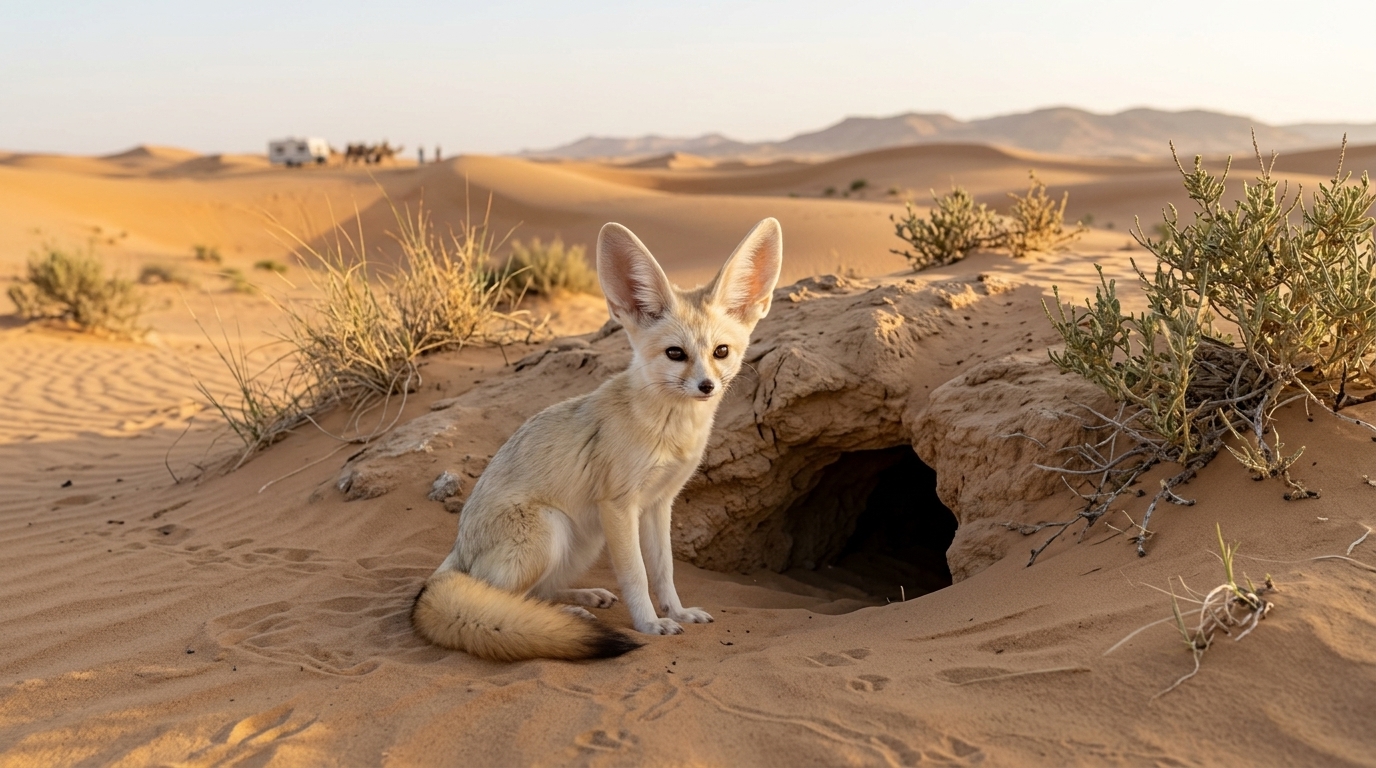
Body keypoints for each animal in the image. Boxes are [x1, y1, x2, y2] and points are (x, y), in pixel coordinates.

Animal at [411, 218, 784, 661]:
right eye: (675, 354)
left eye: (721, 351)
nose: (707, 386)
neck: (668, 429)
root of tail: (455, 552)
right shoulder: (619, 505)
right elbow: (636, 574)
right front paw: (650, 624)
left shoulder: (659, 503)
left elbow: (664, 570)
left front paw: (677, 611)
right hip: (550, 532)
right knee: (500, 598)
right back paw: (568, 613)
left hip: (583, 542)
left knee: (538, 591)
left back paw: (581, 600)